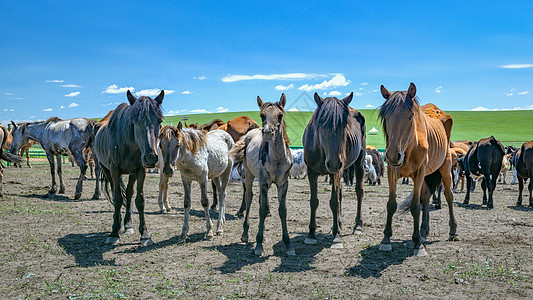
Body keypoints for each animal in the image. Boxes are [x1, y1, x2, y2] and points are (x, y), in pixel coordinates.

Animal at [93, 90, 163, 245]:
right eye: (135, 121)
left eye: (160, 121)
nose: (151, 157)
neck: (128, 143)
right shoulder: (114, 170)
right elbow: (118, 199)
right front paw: (114, 232)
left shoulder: (140, 170)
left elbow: (139, 200)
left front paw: (145, 234)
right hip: (106, 170)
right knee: (115, 193)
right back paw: (118, 224)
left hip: (132, 173)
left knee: (129, 194)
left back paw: (127, 224)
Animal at [230, 94, 296, 255]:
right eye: (262, 115)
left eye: (280, 115)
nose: (267, 132)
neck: (277, 159)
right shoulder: (264, 182)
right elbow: (263, 210)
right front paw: (259, 244)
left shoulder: (283, 184)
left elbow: (282, 210)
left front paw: (288, 244)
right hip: (249, 176)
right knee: (249, 198)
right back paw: (245, 234)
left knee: (260, 200)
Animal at [302, 91, 364, 248]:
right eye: (321, 124)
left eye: (345, 124)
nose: (334, 163)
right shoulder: (311, 172)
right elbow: (314, 201)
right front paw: (311, 234)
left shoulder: (336, 171)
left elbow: (334, 202)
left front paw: (336, 236)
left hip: (358, 161)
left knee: (359, 191)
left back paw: (358, 226)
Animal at [378, 83, 458, 256]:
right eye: (386, 118)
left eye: (410, 117)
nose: (393, 155)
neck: (409, 146)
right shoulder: (392, 172)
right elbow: (391, 204)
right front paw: (386, 239)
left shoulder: (419, 172)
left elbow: (415, 206)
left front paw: (417, 245)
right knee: (426, 196)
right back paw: (424, 230)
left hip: (445, 166)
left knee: (449, 195)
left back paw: (453, 231)